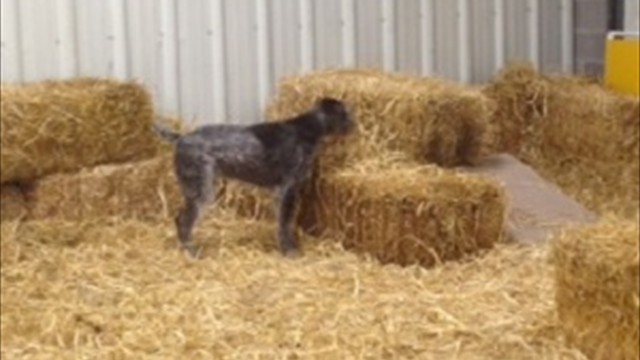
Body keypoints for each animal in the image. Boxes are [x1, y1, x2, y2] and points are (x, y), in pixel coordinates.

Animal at [155, 97, 356, 258]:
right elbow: (284, 224)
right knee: (183, 221)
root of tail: (181, 138)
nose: (354, 124)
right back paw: (192, 252)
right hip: (201, 190)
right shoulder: (287, 189)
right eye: (345, 113)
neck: (308, 129)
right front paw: (290, 251)